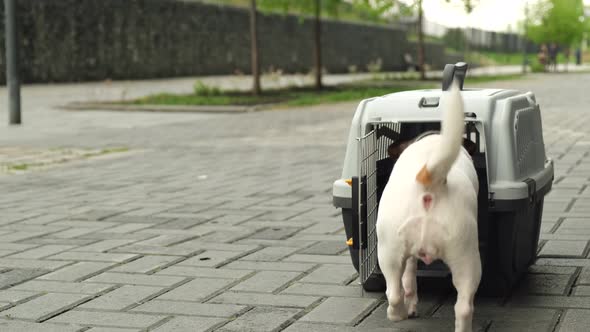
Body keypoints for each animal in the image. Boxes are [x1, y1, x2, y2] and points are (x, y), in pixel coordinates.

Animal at [376, 81, 484, 332]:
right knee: (464, 306)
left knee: (394, 293)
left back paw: (398, 314)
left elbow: (408, 279)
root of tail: (431, 180)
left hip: (389, 252)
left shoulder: (407, 256)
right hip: (466, 258)